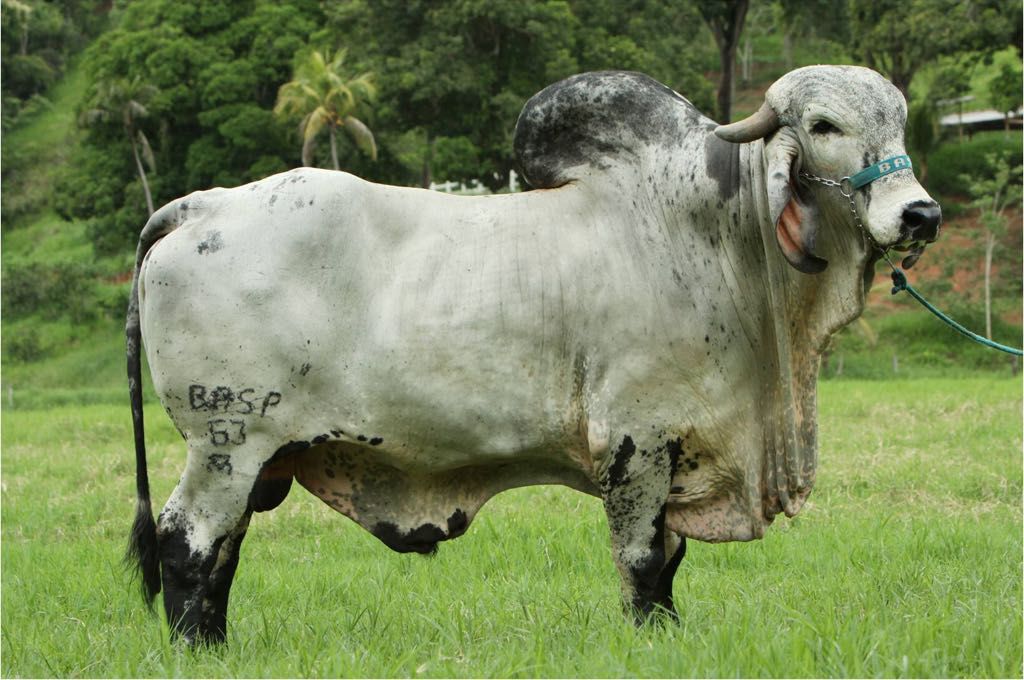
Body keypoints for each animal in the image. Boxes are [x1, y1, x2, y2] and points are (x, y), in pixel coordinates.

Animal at [126, 66, 940, 644]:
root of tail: (202, 204)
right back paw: (197, 649)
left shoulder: (681, 448)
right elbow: (643, 561)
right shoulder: (636, 444)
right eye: (825, 125)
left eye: (899, 119)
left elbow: (670, 561)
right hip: (225, 442)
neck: (716, 237)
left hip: (256, 459)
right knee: (187, 542)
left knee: (223, 550)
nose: (920, 214)